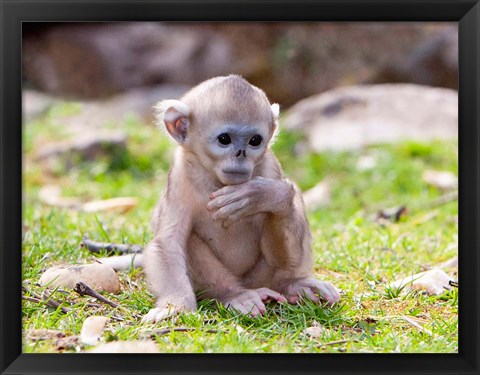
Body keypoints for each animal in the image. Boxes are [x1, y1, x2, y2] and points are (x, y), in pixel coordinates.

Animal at [141, 74, 340, 324]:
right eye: (224, 139)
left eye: (255, 141)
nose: (241, 154)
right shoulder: (180, 177)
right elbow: (168, 242)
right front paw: (175, 305)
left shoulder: (270, 167)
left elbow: (281, 205)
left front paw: (262, 195)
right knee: (191, 241)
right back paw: (235, 295)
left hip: (261, 277)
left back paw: (292, 284)